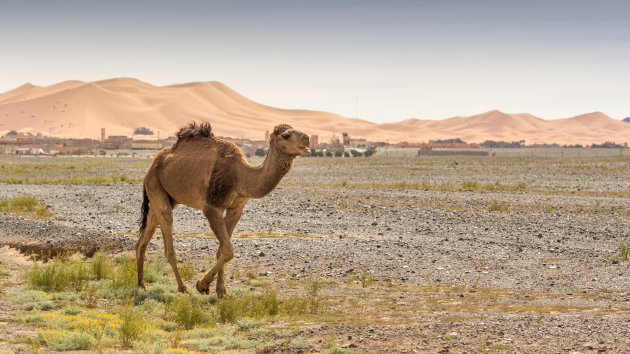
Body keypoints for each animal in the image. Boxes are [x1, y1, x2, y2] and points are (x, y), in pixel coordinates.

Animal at [136, 121, 312, 296]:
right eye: (286, 135)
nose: (307, 138)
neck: (241, 176)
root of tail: (153, 164)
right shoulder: (212, 206)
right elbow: (228, 250)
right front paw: (202, 284)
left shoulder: (236, 209)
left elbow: (222, 250)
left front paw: (221, 290)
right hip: (155, 183)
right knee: (167, 228)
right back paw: (182, 287)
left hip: (165, 195)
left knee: (145, 235)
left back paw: (141, 285)